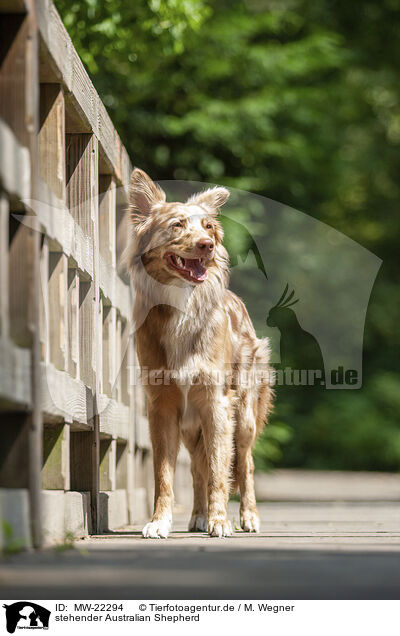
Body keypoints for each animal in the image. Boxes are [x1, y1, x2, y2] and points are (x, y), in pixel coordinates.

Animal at [126, 168, 274, 536]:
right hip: (191, 426)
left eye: (208, 227)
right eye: (177, 225)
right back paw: (198, 515)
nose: (208, 245)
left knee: (245, 463)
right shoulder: (162, 406)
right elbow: (164, 475)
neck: (181, 301)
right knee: (197, 466)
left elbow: (221, 471)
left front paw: (220, 521)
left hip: (244, 414)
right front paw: (160, 522)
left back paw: (247, 516)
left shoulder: (216, 403)